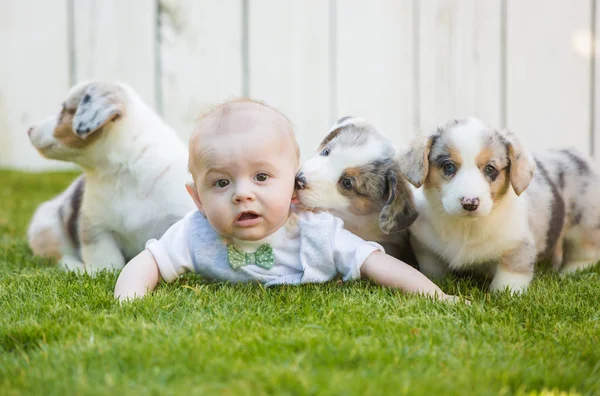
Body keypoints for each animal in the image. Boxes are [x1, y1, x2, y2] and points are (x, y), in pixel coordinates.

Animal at [27, 79, 195, 272]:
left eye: (64, 109)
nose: (29, 129)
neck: (123, 170)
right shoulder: (96, 228)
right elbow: (107, 262)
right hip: (46, 229)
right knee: (60, 257)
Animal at [398, 116, 600, 292]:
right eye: (449, 166)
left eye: (490, 169)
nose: (470, 203)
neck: (467, 227)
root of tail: (583, 157)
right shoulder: (425, 247)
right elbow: (433, 270)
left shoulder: (518, 246)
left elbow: (508, 280)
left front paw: (504, 294)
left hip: (585, 228)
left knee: (585, 253)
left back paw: (569, 272)